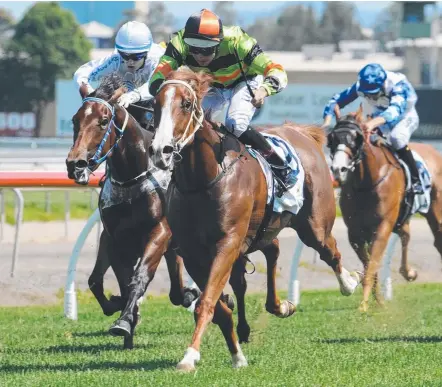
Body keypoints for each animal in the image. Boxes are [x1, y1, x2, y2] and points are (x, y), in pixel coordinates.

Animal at [65, 74, 197, 350]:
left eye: (104, 121)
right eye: (75, 120)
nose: (75, 165)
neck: (132, 178)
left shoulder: (159, 231)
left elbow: (139, 277)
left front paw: (125, 321)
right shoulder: (114, 238)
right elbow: (104, 282)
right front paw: (125, 315)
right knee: (175, 290)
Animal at [148, 70, 362, 372]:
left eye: (187, 104)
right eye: (155, 105)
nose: (161, 151)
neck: (203, 179)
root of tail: (299, 132)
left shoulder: (227, 244)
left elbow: (207, 302)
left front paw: (189, 356)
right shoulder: (193, 252)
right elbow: (219, 307)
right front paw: (237, 355)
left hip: (314, 224)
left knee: (329, 250)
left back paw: (349, 283)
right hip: (262, 229)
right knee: (273, 249)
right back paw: (279, 307)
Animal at [326, 105, 442, 312]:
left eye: (357, 137)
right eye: (332, 138)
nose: (339, 169)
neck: (366, 182)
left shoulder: (382, 227)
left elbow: (372, 265)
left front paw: (363, 305)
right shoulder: (355, 233)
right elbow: (369, 266)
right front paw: (377, 300)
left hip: (434, 210)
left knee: (438, 239)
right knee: (406, 234)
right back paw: (408, 272)